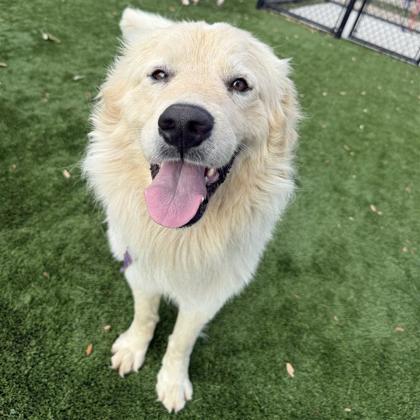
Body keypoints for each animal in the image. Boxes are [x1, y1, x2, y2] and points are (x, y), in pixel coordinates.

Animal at [83, 7, 299, 412]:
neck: (177, 237)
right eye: (159, 75)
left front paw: (171, 381)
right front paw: (134, 348)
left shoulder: (206, 296)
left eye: (240, 84)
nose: (183, 123)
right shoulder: (139, 268)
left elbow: (181, 340)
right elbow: (145, 314)